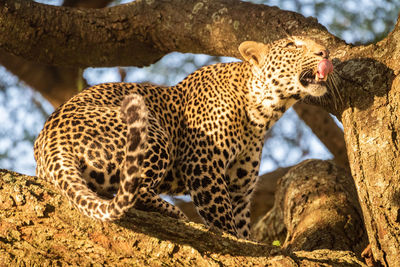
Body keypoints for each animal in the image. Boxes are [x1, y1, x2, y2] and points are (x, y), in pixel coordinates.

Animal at [33, 36, 334, 240]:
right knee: (134, 189)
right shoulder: (204, 166)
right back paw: (174, 214)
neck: (264, 112)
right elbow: (223, 218)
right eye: (293, 44)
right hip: (152, 133)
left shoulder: (240, 190)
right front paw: (228, 236)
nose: (325, 52)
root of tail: (51, 142)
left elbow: (242, 225)